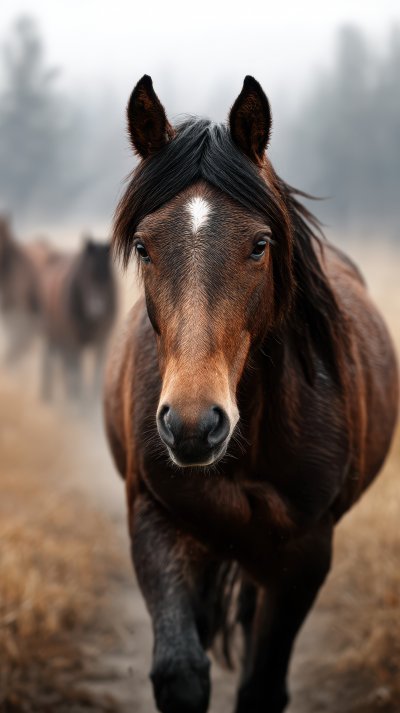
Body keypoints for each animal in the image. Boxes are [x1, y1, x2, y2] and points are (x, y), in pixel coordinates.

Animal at [36, 237, 117, 402]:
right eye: (87, 274)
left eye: (108, 277)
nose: (97, 308)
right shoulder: (72, 342)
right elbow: (75, 372)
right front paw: (78, 402)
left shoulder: (101, 340)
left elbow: (96, 371)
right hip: (50, 333)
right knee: (49, 361)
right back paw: (47, 397)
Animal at [104, 75, 399, 713]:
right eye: (142, 246)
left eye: (260, 244)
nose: (193, 425)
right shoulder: (154, 519)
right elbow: (181, 672)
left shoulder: (304, 555)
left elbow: (262, 685)